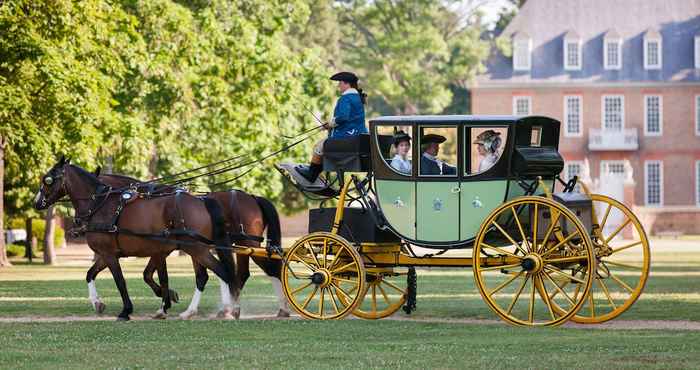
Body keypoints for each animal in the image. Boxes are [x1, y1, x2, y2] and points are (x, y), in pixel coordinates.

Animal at [37, 158, 242, 322]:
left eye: (48, 180)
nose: (36, 202)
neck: (100, 204)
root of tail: (202, 200)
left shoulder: (111, 254)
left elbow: (121, 281)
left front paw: (127, 310)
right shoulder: (112, 253)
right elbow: (91, 274)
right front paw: (98, 303)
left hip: (197, 249)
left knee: (221, 272)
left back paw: (227, 309)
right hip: (195, 248)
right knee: (206, 276)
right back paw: (201, 310)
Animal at [90, 172, 288, 320]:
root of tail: (253, 197)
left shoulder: (161, 249)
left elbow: (149, 274)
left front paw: (165, 298)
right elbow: (150, 275)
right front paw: (167, 296)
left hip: (245, 243)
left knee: (268, 269)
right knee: (239, 274)